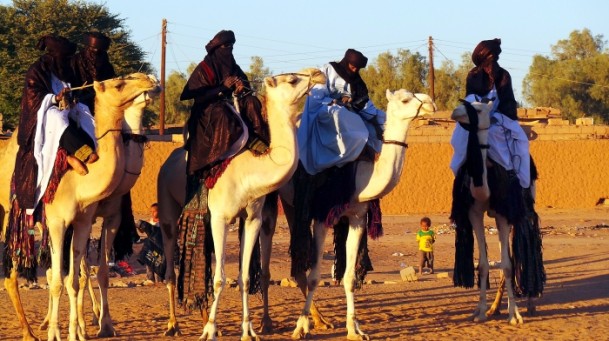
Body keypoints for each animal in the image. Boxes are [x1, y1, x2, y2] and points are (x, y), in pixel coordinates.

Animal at [0, 72, 160, 340]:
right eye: (119, 83)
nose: (150, 80)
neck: (79, 181)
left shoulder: (89, 219)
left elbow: (79, 277)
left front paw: (87, 329)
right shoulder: (58, 221)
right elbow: (59, 280)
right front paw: (57, 332)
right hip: (10, 213)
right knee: (16, 275)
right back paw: (30, 331)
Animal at [158, 67, 328, 338]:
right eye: (292, 79)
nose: (318, 73)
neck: (249, 173)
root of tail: (168, 163)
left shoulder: (252, 218)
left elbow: (245, 277)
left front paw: (248, 330)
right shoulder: (220, 218)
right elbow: (220, 278)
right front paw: (210, 330)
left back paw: (202, 317)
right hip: (166, 205)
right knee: (171, 268)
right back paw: (174, 324)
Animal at [448, 97, 544, 324]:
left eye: (478, 109)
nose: (455, 111)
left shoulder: (504, 214)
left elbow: (508, 266)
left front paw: (514, 315)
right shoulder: (474, 213)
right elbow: (484, 264)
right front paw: (481, 311)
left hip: (522, 209)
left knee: (524, 245)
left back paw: (528, 305)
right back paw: (494, 307)